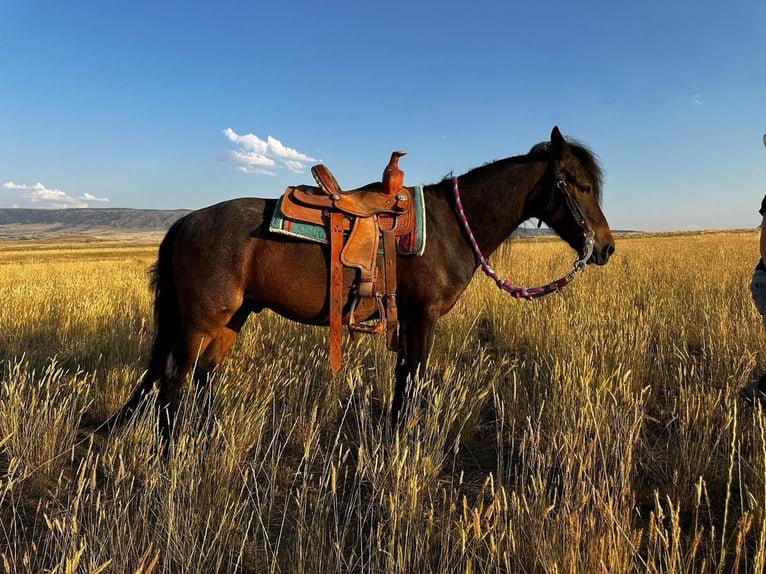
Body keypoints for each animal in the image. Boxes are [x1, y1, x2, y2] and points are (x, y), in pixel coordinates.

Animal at [112, 126, 616, 440]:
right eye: (581, 186)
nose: (607, 248)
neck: (451, 225)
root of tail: (186, 222)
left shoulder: (408, 320)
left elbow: (403, 377)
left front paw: (394, 434)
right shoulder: (423, 316)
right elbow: (414, 377)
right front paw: (404, 440)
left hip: (232, 318)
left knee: (204, 376)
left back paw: (207, 441)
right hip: (201, 320)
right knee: (175, 380)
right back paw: (170, 455)